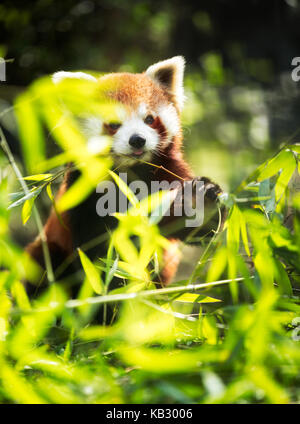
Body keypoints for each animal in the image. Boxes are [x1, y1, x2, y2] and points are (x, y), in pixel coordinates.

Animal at [26, 57, 225, 292]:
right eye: (113, 124)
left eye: (149, 119)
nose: (137, 139)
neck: (130, 171)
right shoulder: (83, 195)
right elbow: (97, 248)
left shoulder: (168, 174)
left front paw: (199, 203)